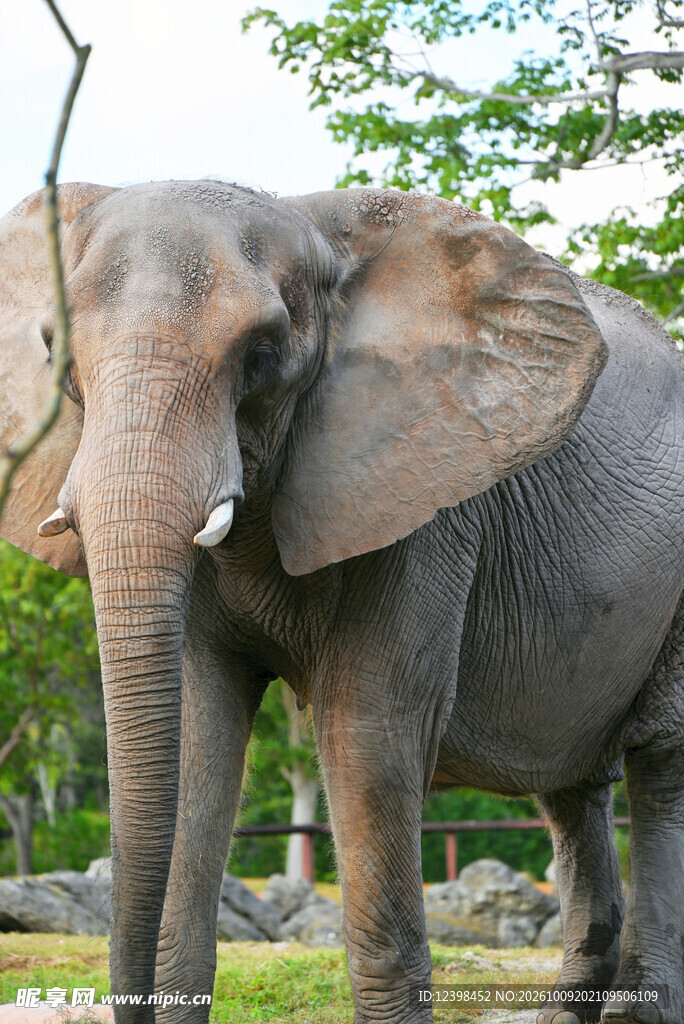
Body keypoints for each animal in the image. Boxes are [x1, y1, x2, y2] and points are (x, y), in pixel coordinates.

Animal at [0, 178, 682, 1024]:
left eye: (261, 354)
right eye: (59, 363)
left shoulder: (424, 500)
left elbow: (368, 727)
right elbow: (196, 727)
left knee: (660, 762)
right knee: (570, 785)